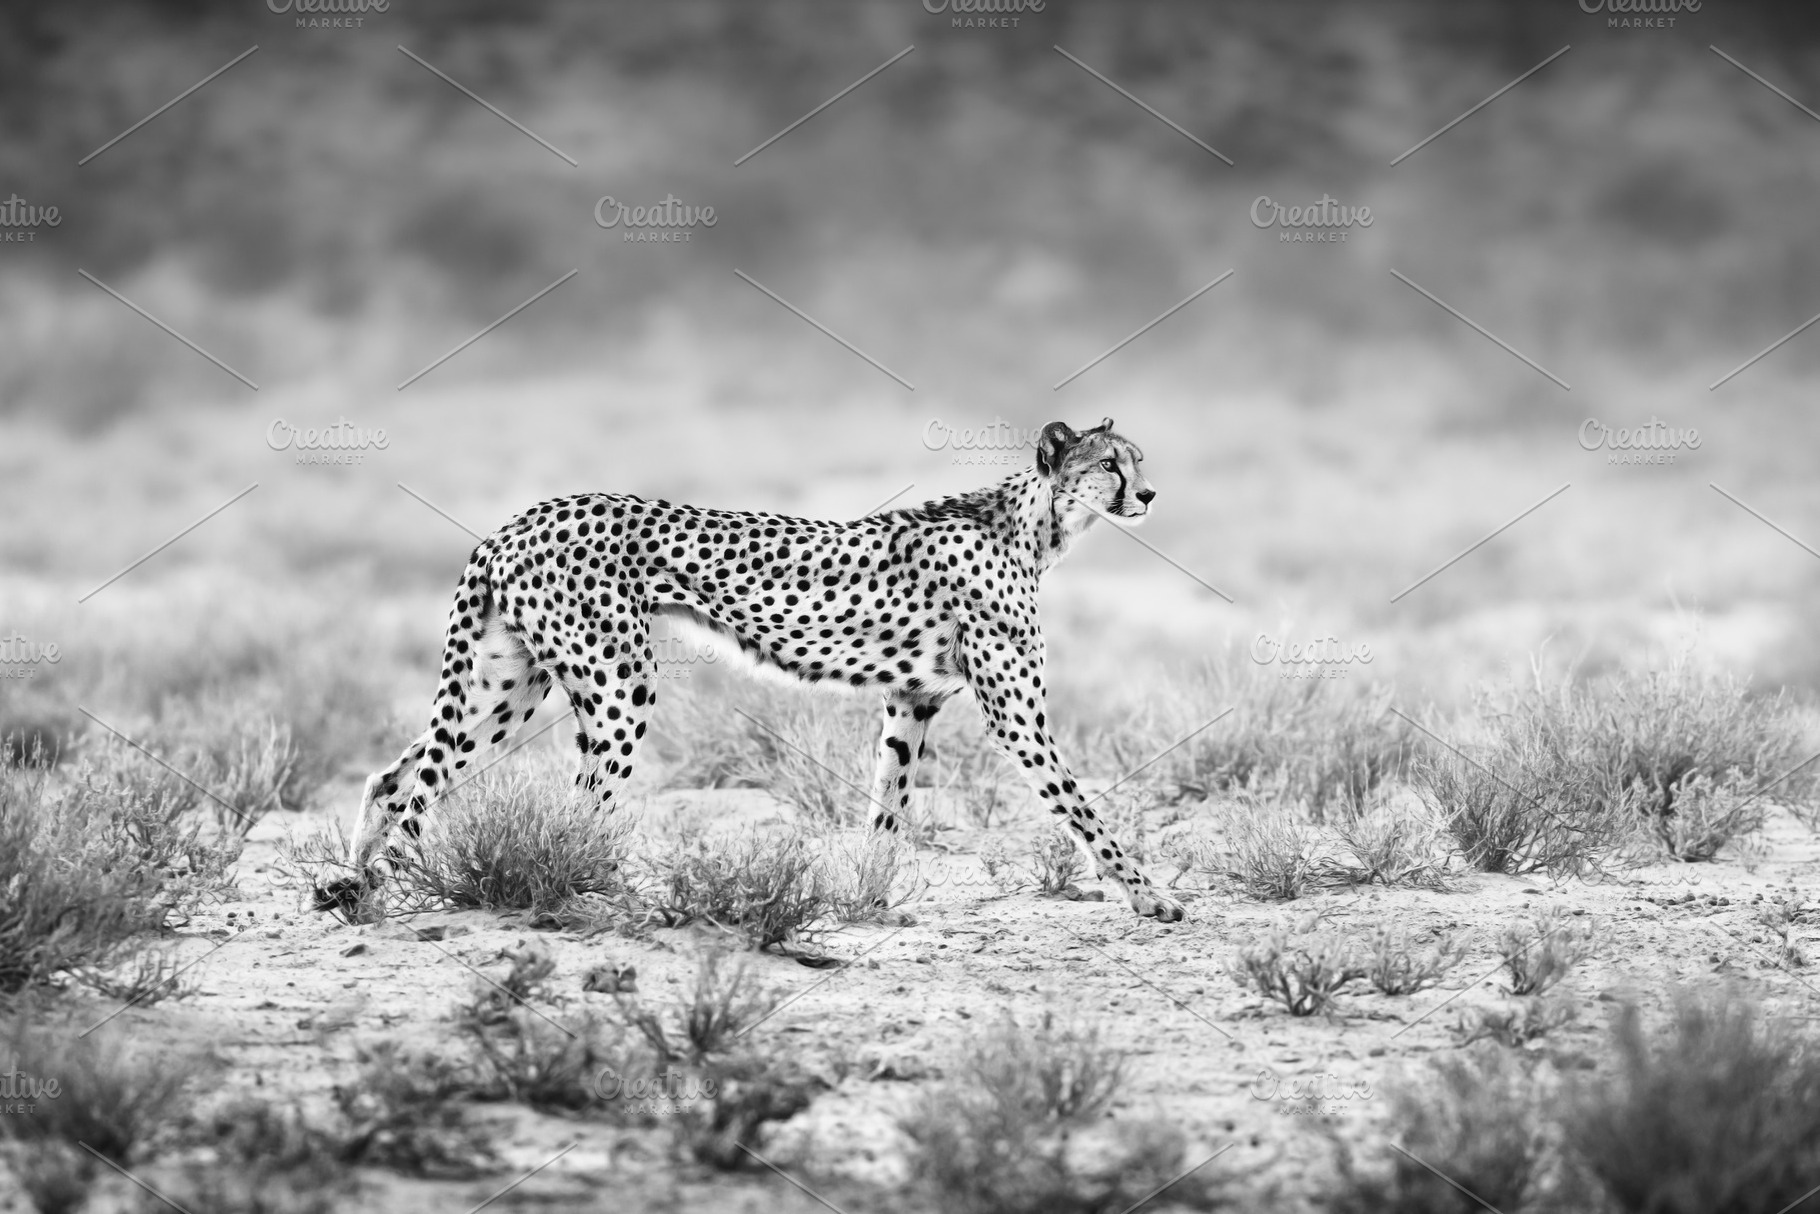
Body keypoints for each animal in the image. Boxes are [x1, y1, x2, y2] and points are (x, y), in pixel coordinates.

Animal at [313, 417, 1185, 923]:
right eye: (1112, 464)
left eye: (1139, 461)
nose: (1147, 494)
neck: (1032, 524)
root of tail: (516, 520)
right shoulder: (1016, 716)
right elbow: (1085, 810)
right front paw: (1152, 896)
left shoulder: (911, 702)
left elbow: (887, 812)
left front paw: (868, 903)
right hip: (619, 683)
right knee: (575, 810)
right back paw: (595, 896)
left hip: (510, 684)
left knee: (398, 778)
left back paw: (356, 883)